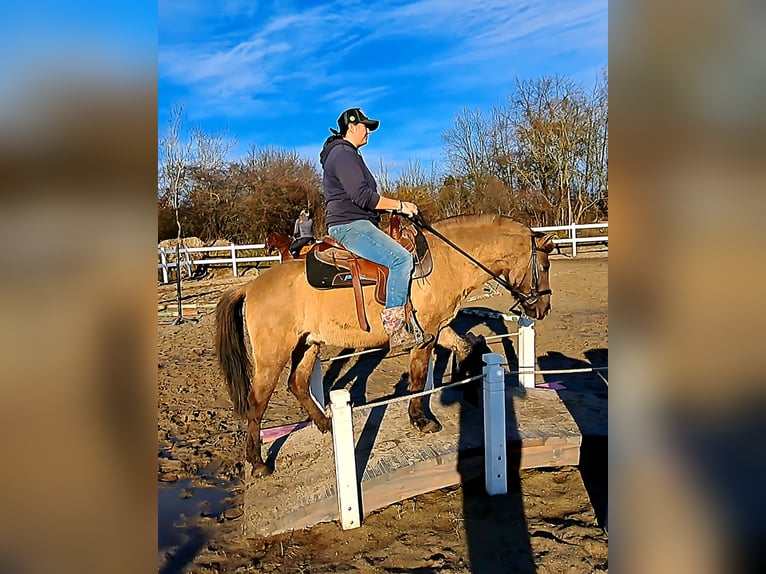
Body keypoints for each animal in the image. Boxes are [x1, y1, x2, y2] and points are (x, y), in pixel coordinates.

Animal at [216, 215, 556, 478]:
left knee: (297, 384)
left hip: (308, 344)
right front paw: (421, 420)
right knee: (257, 402)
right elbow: (418, 377)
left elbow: (465, 347)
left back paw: (327, 424)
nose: (543, 309)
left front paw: (467, 384)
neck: (447, 261)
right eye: (545, 265)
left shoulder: (440, 328)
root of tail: (250, 286)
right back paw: (258, 463)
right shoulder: (425, 334)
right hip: (272, 356)